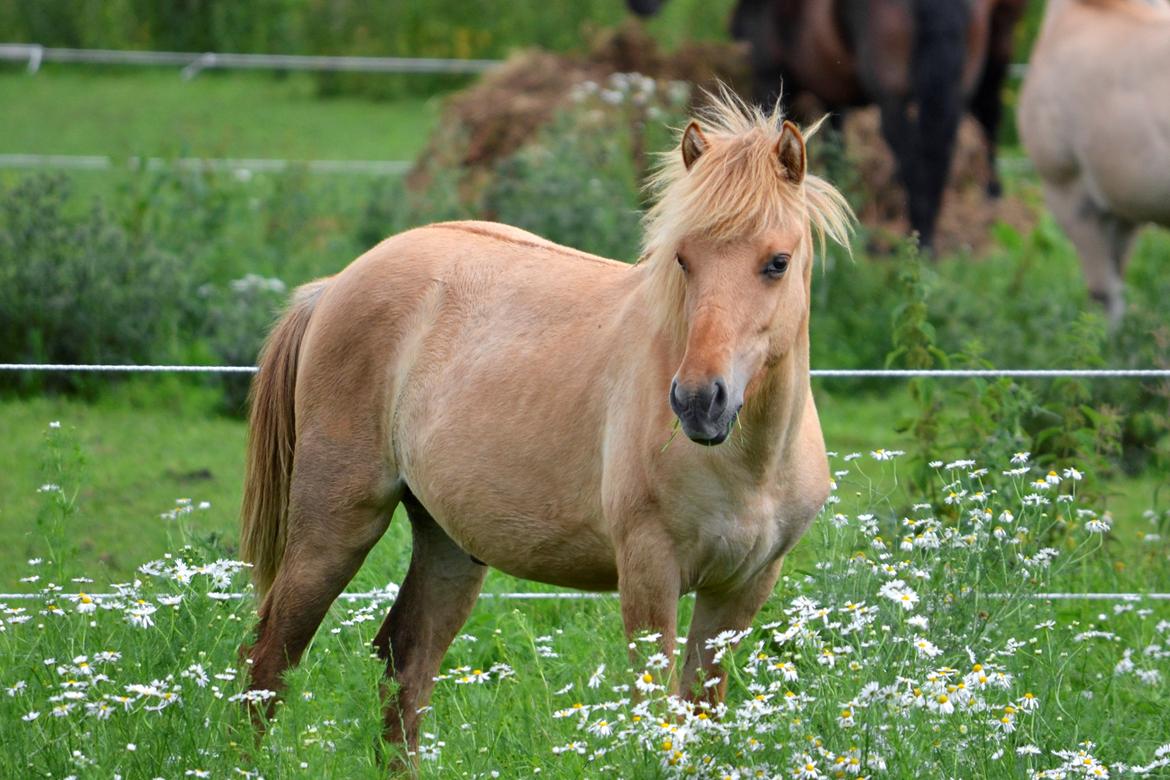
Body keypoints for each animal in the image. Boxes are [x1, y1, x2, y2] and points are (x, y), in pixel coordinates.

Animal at [239, 91, 851, 757]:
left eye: (777, 263)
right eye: (683, 260)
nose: (697, 403)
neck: (751, 464)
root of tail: (333, 287)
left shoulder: (741, 591)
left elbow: (701, 716)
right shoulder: (649, 575)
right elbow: (656, 717)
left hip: (448, 544)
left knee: (406, 658)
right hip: (335, 525)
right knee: (269, 657)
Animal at [631, 0, 1024, 250]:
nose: (641, 7)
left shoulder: (770, 74)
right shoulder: (835, 99)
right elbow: (835, 155)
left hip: (893, 94)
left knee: (915, 157)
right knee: (976, 125)